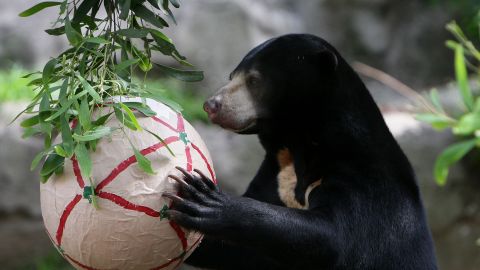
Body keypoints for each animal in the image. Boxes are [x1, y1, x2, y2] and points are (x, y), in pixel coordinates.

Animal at [162, 33, 438, 270]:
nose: (211, 105)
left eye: (254, 80)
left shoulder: (366, 180)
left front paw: (202, 198)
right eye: (231, 76)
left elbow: (332, 235)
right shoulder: (276, 173)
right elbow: (236, 250)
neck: (300, 144)